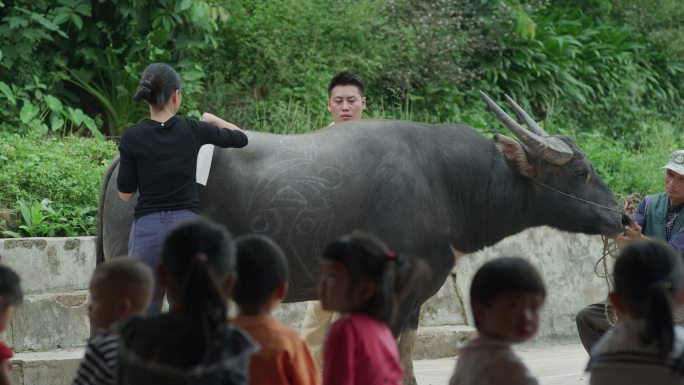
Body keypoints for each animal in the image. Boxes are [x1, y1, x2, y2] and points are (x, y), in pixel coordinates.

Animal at [97, 94, 624, 384]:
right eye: (581, 171)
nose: (620, 214)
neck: (448, 183)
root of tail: (122, 159)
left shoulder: (415, 296)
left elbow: (404, 358)